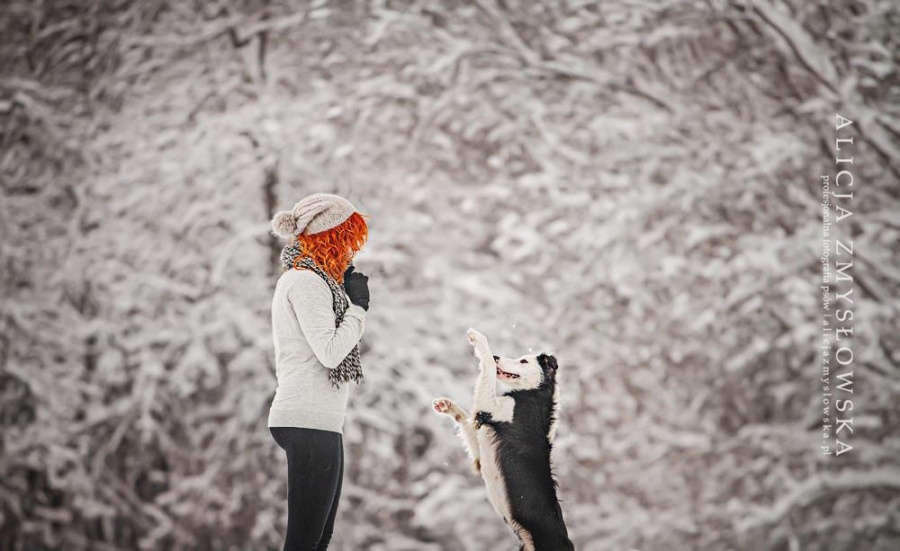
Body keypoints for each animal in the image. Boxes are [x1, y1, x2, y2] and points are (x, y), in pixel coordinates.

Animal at [432, 330, 572, 548]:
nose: (497, 356)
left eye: (523, 361)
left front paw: (478, 339)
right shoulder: (482, 441)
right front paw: (447, 406)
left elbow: (488, 366)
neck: (536, 392)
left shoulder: (490, 407)